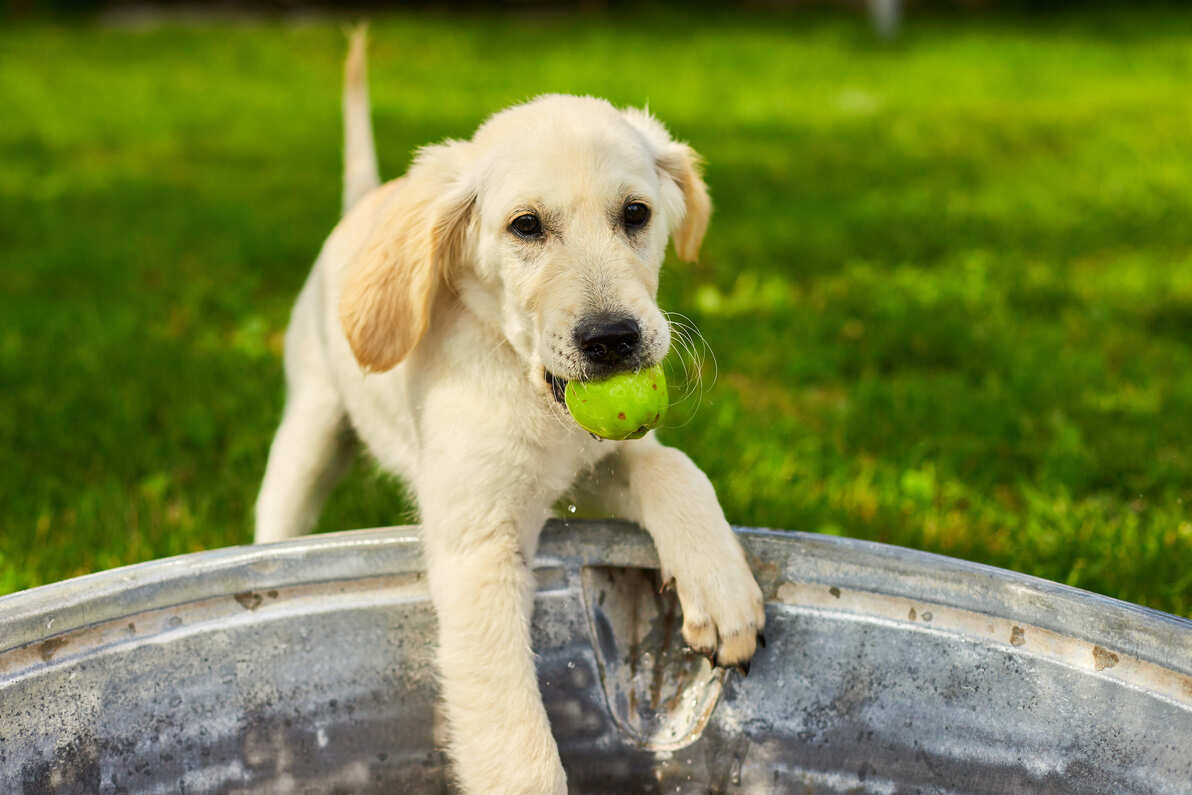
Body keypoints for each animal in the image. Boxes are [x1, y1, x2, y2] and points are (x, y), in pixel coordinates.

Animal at [256, 31, 767, 795]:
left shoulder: (590, 464)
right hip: (310, 427)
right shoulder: (479, 547)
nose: (612, 339)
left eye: (636, 214)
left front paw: (721, 584)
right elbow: (514, 738)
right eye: (526, 226)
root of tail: (365, 202)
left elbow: (674, 466)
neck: (526, 385)